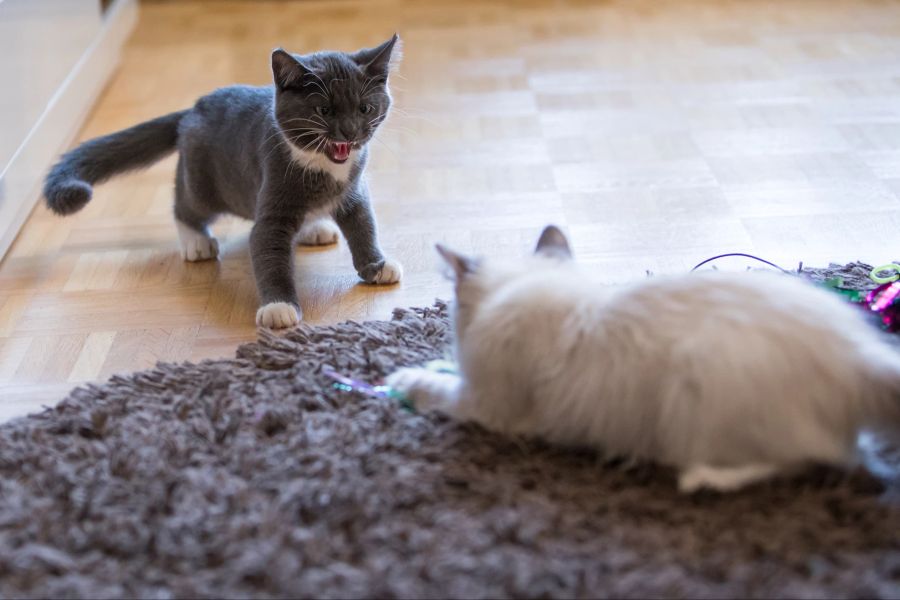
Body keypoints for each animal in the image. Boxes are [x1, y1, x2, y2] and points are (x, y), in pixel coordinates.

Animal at [44, 35, 402, 328]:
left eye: (365, 108)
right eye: (323, 110)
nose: (350, 132)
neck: (324, 168)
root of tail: (193, 108)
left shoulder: (354, 190)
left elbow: (363, 225)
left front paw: (376, 265)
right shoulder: (273, 187)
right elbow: (267, 248)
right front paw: (279, 307)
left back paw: (312, 227)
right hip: (202, 182)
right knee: (186, 206)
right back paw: (196, 240)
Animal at [386, 225, 900, 492]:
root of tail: (858, 355)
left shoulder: (484, 406)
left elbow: (432, 387)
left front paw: (401, 379)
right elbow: (441, 372)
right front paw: (429, 365)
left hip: (699, 407)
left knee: (813, 461)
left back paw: (701, 479)